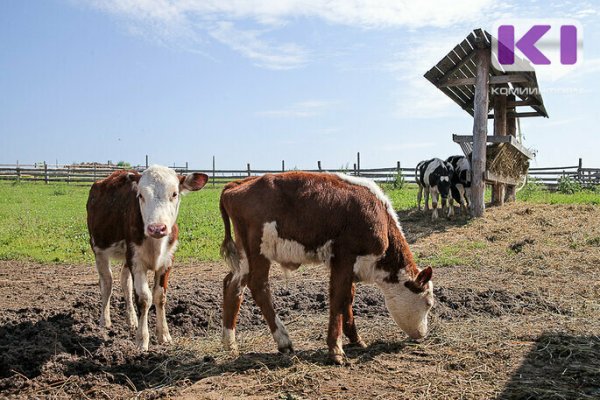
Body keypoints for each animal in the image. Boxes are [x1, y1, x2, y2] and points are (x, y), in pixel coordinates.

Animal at [85, 166, 209, 350]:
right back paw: (104, 321)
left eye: (174, 193)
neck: (155, 244)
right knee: (107, 283)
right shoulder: (136, 262)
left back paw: (131, 320)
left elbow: (160, 296)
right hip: (98, 248)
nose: (157, 228)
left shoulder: (167, 261)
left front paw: (164, 335)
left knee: (125, 282)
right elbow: (144, 298)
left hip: (126, 256)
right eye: (141, 195)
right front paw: (142, 340)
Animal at [218, 170, 434, 364]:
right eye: (429, 303)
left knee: (232, 285)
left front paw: (356, 339)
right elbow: (338, 299)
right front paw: (336, 350)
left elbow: (347, 298)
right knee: (259, 286)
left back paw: (230, 344)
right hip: (259, 250)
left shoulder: (349, 267)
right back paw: (283, 340)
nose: (423, 334)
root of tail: (238, 184)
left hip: (244, 255)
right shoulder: (344, 258)